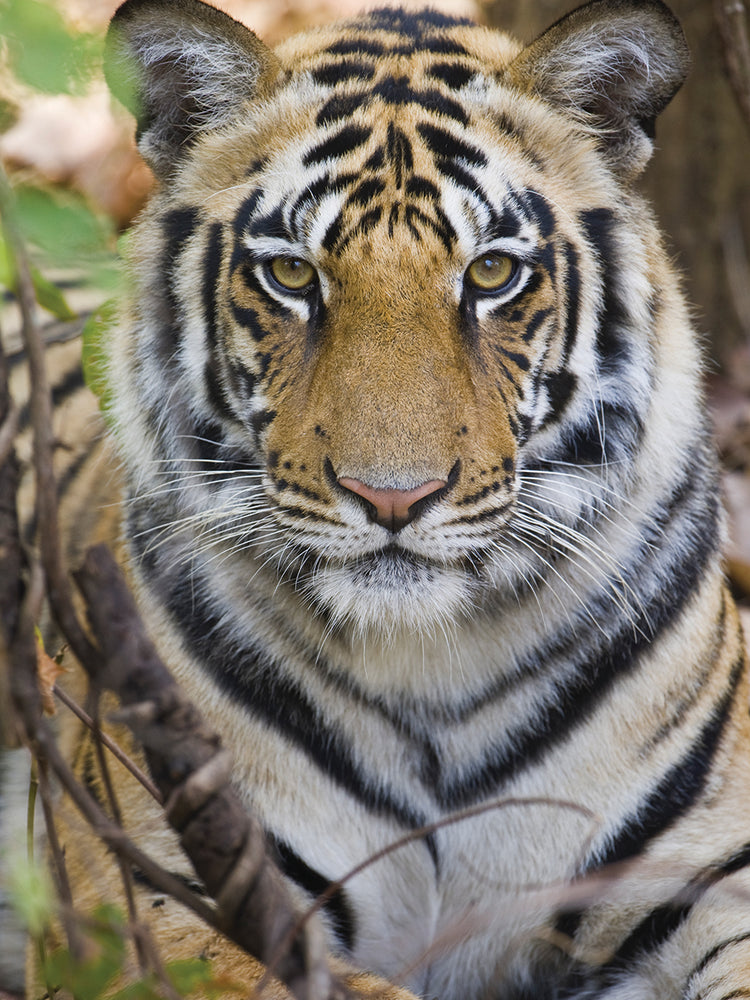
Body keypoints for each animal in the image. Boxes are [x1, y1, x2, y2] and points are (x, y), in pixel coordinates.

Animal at [19, 0, 750, 997]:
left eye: (492, 275)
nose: (393, 498)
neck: (429, 664)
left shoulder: (709, 879)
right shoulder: (154, 903)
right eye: (292, 276)